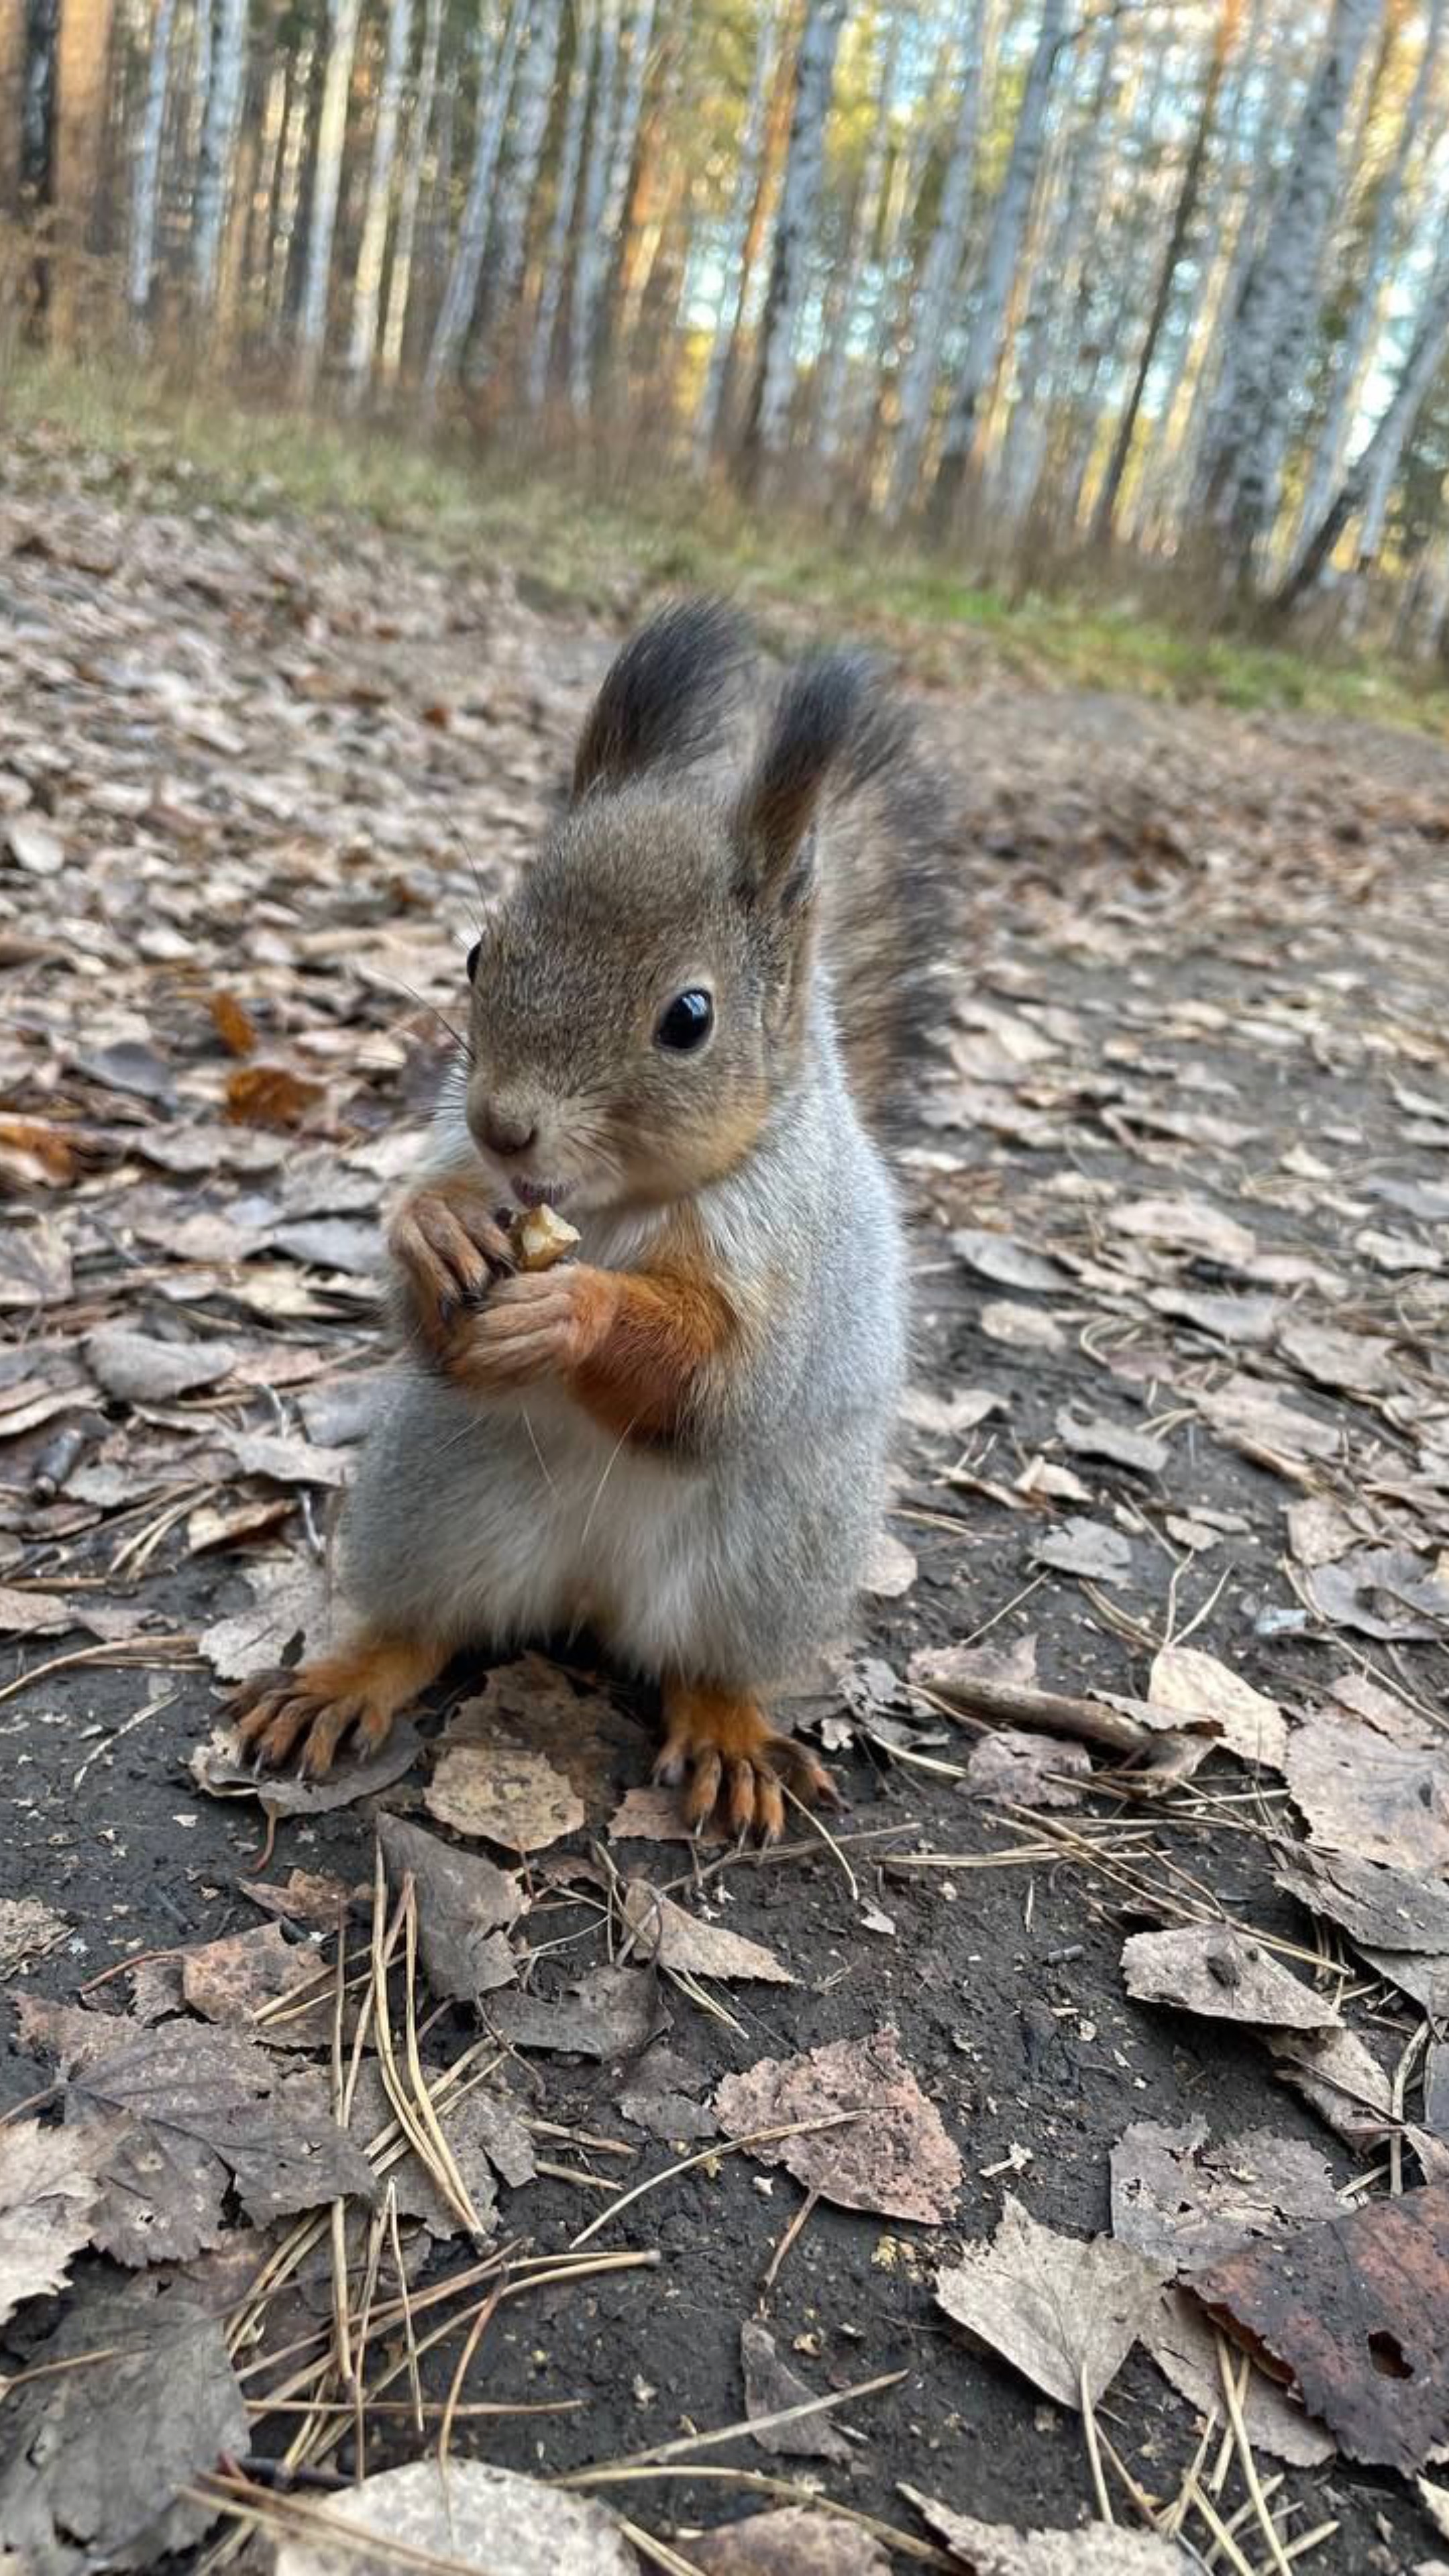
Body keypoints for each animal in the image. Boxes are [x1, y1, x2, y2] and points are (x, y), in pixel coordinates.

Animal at [229, 602, 943, 1844]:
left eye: (690, 1017)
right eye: (478, 953)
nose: (503, 1128)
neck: (613, 1204)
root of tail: (589, 1598)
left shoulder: (788, 1255)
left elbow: (724, 1381)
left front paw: (578, 1310)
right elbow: (427, 1295)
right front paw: (433, 1230)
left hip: (771, 1558)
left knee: (708, 1665)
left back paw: (729, 1736)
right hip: (439, 1496)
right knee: (425, 1625)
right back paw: (345, 1679)